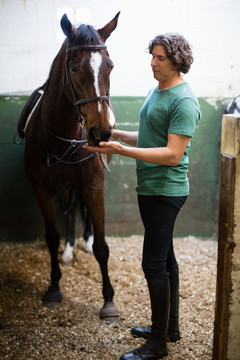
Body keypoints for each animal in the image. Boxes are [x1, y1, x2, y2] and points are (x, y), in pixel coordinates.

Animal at [23, 11, 120, 320]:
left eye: (110, 67)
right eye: (74, 68)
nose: (101, 132)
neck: (61, 135)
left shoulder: (94, 186)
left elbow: (102, 246)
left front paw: (108, 300)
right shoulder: (42, 188)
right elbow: (51, 237)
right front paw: (54, 287)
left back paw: (85, 242)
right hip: (65, 186)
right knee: (71, 211)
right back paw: (68, 251)